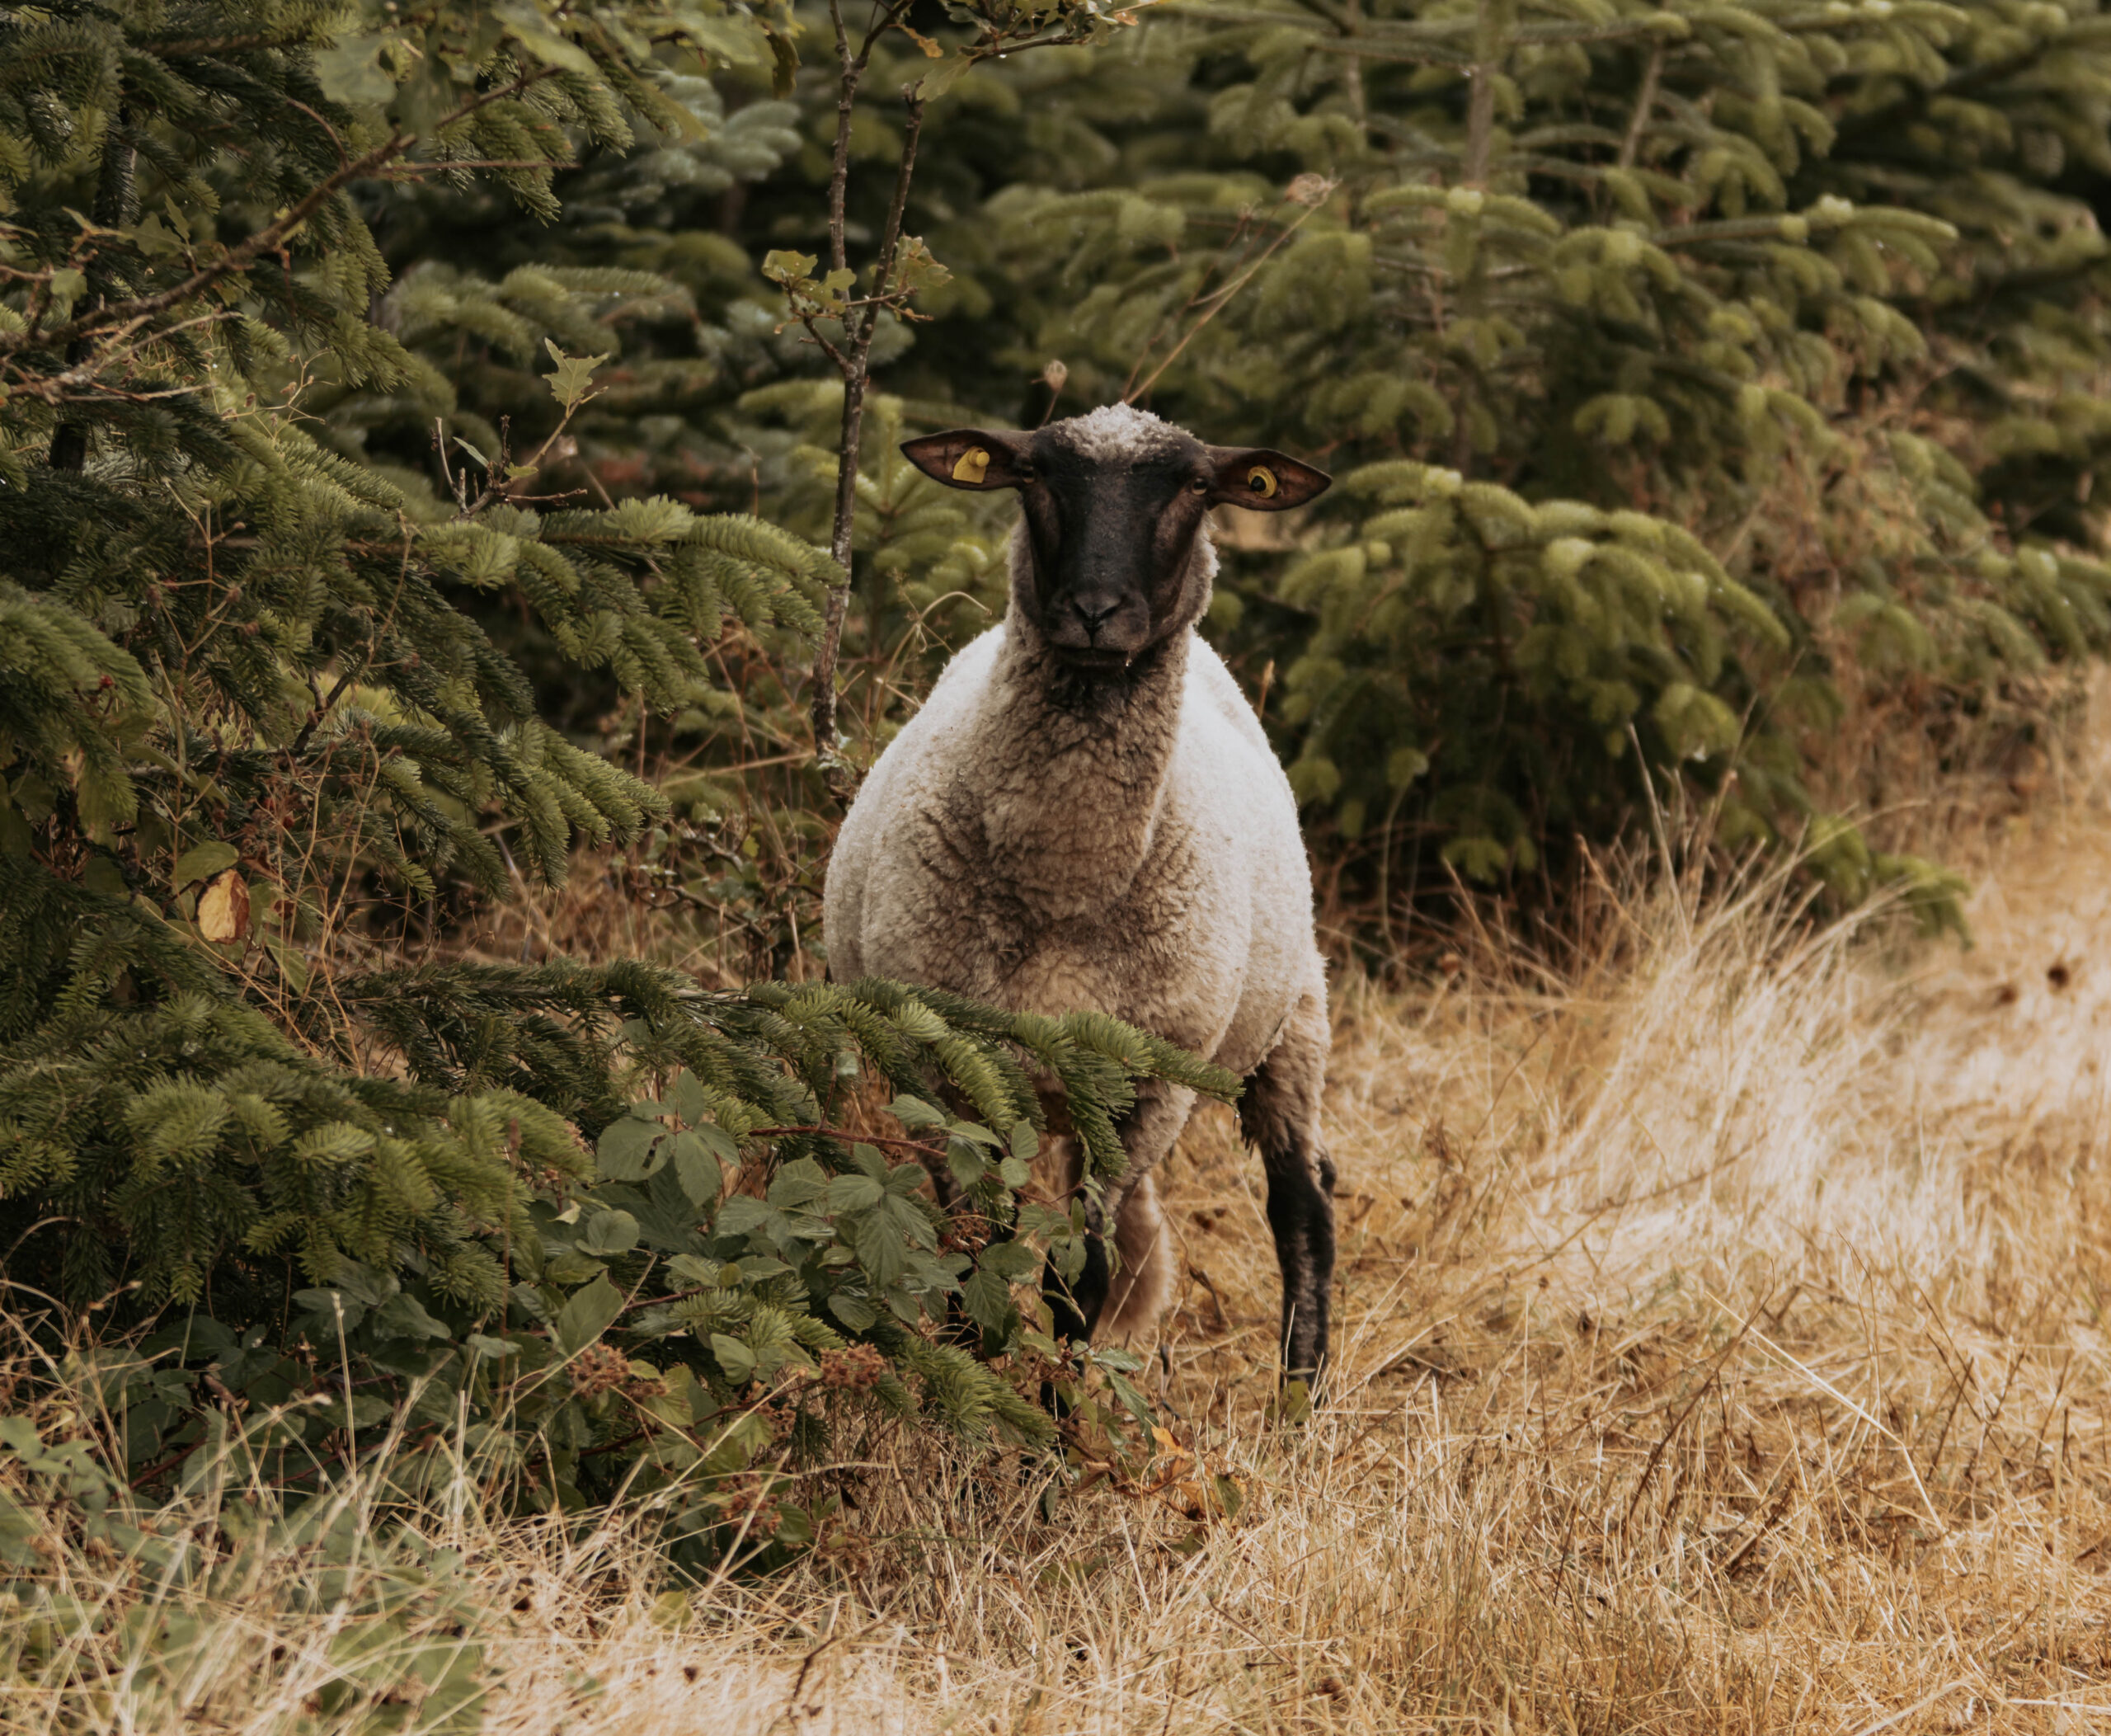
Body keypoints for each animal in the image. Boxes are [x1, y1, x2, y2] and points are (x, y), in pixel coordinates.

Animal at [822, 404, 1337, 1384]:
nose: (1096, 612)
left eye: (1196, 485)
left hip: (1290, 1017)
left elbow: (1079, 1277)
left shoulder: (1148, 1082)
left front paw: (1055, 1415)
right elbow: (975, 1247)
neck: (1066, 883)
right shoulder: (948, 1068)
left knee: (1303, 1207)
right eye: (1032, 475)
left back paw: (1299, 1398)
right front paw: (976, 1386)